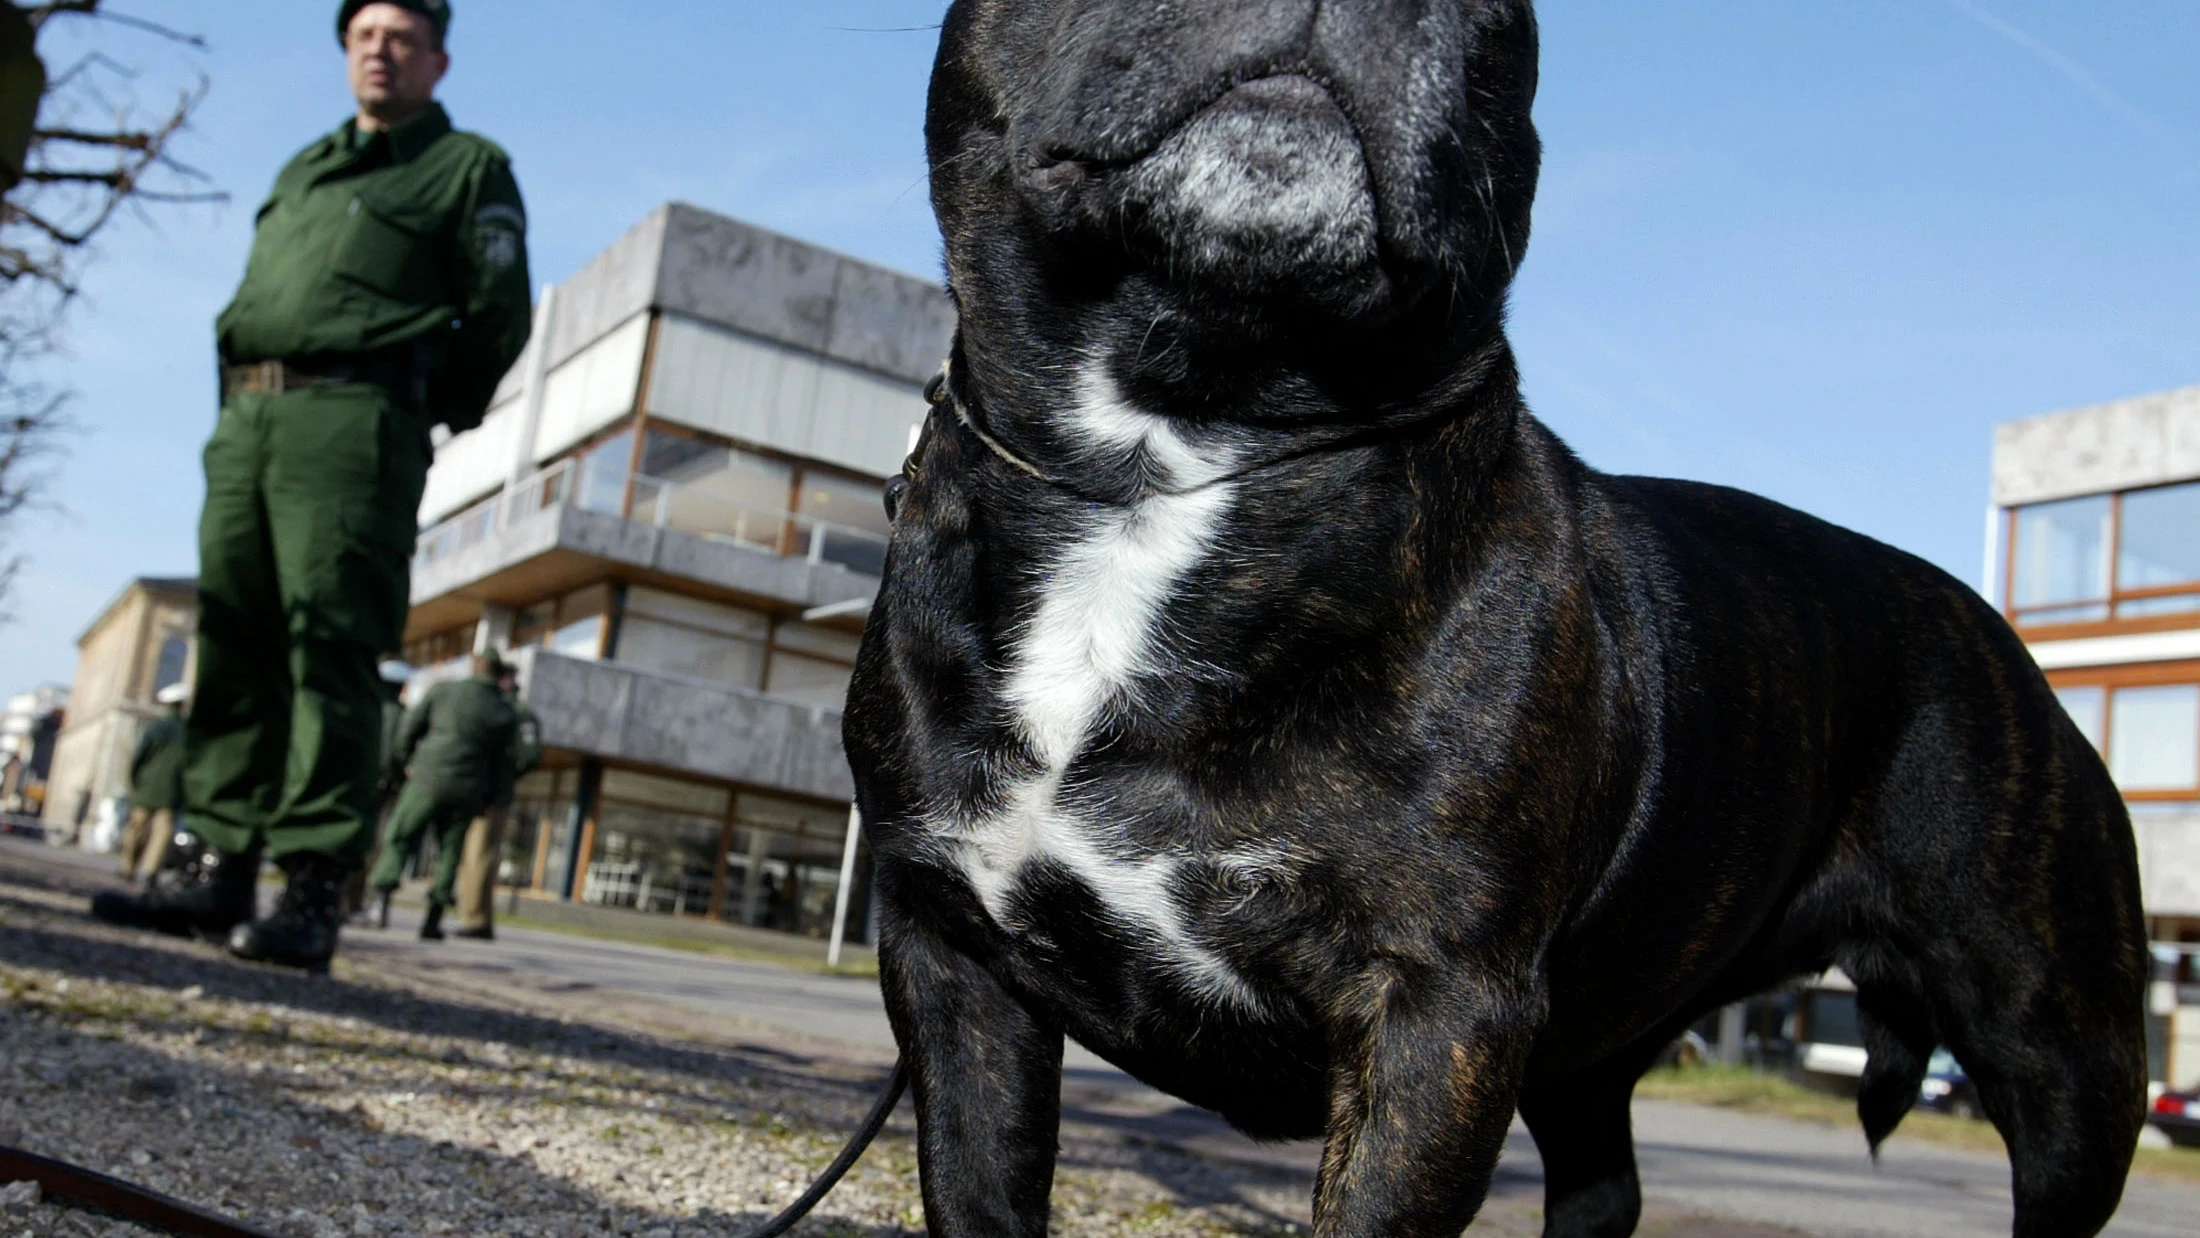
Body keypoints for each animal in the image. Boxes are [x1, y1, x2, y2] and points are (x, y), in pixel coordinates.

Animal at [840, 4, 2147, 1231]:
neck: (1173, 454)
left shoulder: (1438, 1012)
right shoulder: (953, 963)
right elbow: (982, 1186)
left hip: (2064, 1056)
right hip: (1593, 1055)